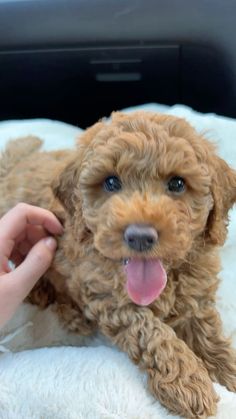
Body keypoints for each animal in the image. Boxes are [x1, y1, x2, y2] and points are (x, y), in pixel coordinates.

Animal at [0, 112, 236, 419]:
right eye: (111, 182)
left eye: (177, 184)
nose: (140, 236)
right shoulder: (108, 296)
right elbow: (152, 332)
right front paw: (188, 381)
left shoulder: (195, 295)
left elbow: (208, 334)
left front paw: (227, 370)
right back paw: (68, 312)